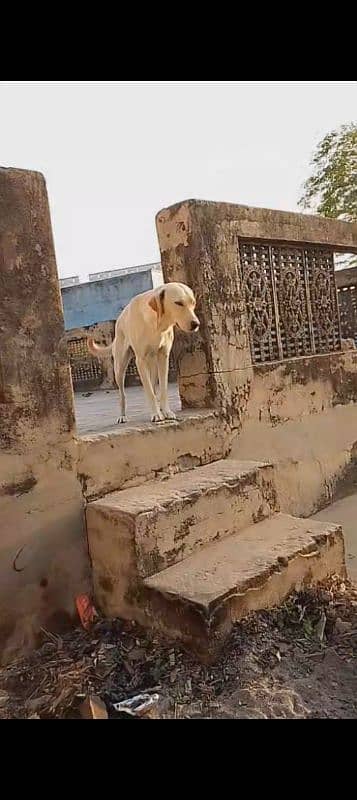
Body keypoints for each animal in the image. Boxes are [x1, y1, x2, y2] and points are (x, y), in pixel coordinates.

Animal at [86, 282, 197, 422]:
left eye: (193, 303)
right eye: (178, 303)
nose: (196, 324)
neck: (157, 324)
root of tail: (119, 320)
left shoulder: (163, 357)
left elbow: (163, 389)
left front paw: (166, 411)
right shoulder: (141, 361)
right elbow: (149, 391)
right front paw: (155, 414)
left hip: (153, 364)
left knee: (153, 385)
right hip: (119, 368)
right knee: (122, 394)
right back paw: (122, 416)